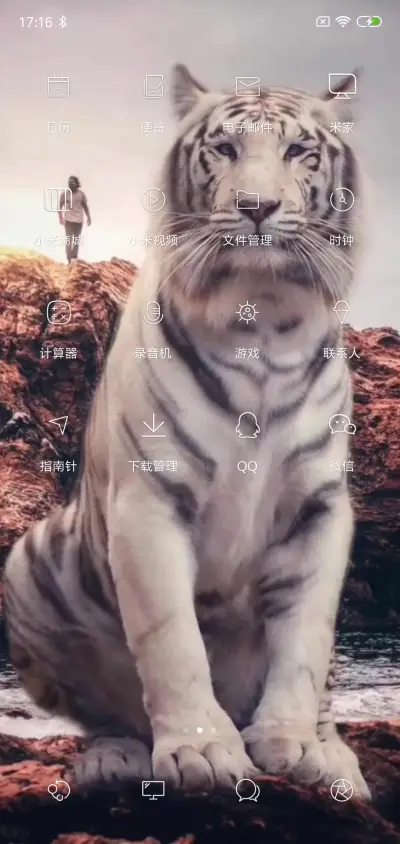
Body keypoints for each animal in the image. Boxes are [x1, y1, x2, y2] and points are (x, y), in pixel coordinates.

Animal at [4, 64, 371, 799]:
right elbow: (170, 637)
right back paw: (116, 757)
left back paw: (335, 758)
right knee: (107, 708)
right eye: (224, 149)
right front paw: (203, 750)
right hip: (26, 565)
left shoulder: (320, 508)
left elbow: (305, 641)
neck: (263, 319)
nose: (257, 206)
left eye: (298, 151)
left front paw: (290, 743)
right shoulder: (148, 501)